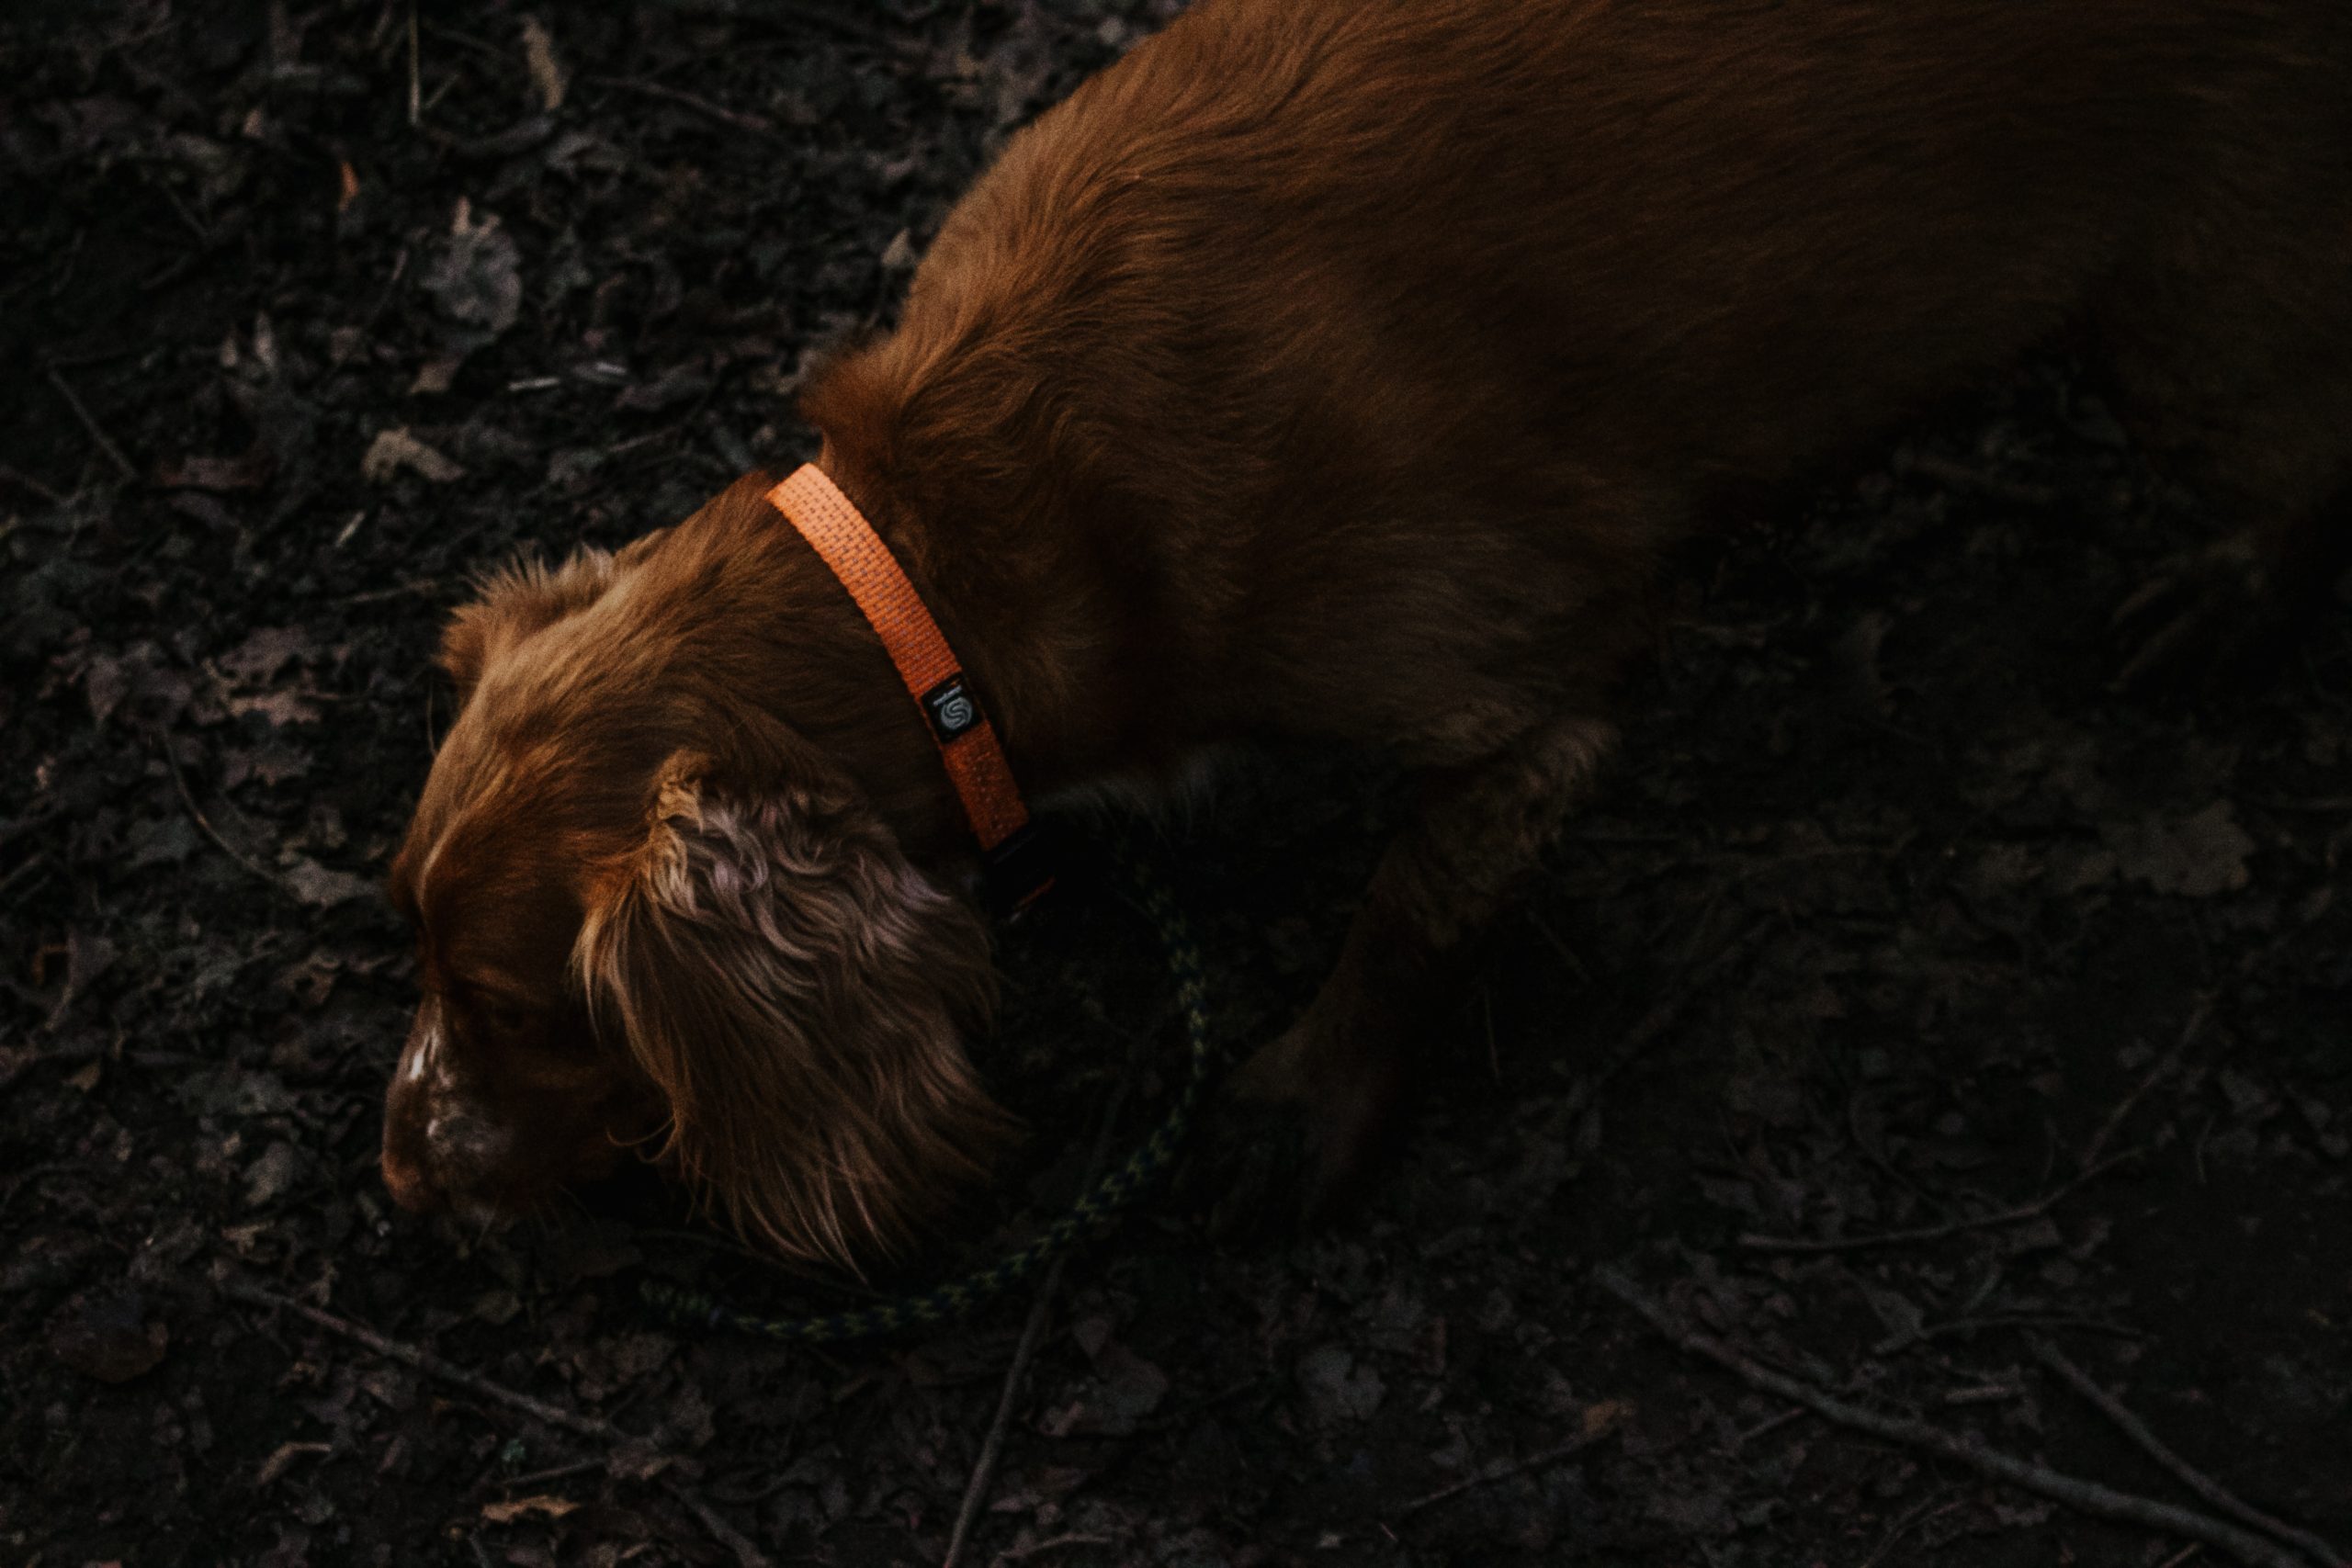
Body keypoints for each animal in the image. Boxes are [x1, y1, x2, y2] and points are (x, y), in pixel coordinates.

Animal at [385, 0, 2352, 1269]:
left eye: (527, 1009)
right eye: (418, 951)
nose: (401, 1176)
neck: (965, 524)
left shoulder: (1530, 700)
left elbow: (1410, 909)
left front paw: (1299, 1102)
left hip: (2193, 331)